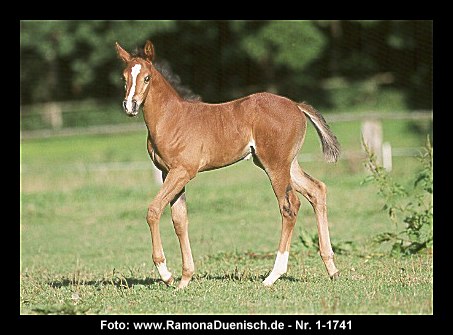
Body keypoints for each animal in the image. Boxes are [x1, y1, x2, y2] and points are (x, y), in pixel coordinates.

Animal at [115, 40, 340, 290]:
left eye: (147, 78)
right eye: (124, 77)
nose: (130, 106)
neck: (171, 118)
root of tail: (296, 105)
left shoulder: (183, 172)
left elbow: (154, 210)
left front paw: (167, 274)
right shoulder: (168, 173)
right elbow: (180, 220)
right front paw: (185, 278)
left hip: (275, 166)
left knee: (290, 206)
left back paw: (273, 276)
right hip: (285, 164)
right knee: (317, 190)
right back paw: (331, 268)